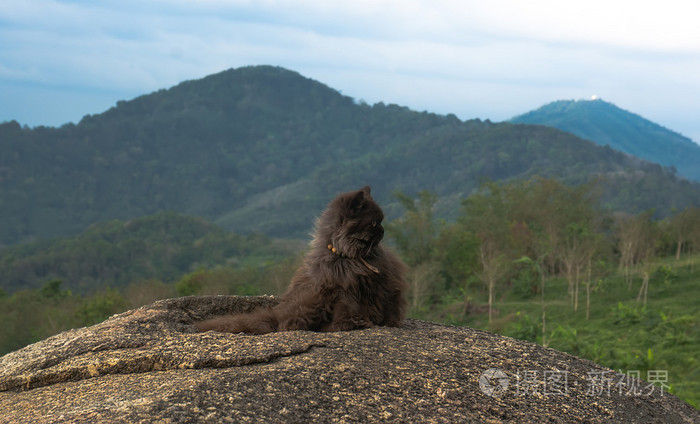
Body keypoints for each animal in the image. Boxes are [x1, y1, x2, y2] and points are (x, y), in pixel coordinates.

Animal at [194, 187, 408, 332]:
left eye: (380, 222)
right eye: (374, 223)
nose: (383, 230)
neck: (348, 257)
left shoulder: (386, 282)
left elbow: (389, 306)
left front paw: (388, 323)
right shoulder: (343, 289)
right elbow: (347, 309)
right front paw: (348, 324)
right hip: (313, 295)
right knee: (286, 321)